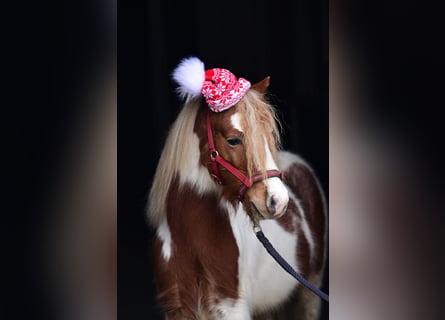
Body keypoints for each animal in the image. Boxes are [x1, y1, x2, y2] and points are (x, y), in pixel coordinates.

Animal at [147, 61, 324, 318]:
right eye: (232, 140)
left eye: (268, 136)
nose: (278, 201)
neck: (190, 243)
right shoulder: (177, 309)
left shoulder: (232, 307)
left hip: (310, 293)